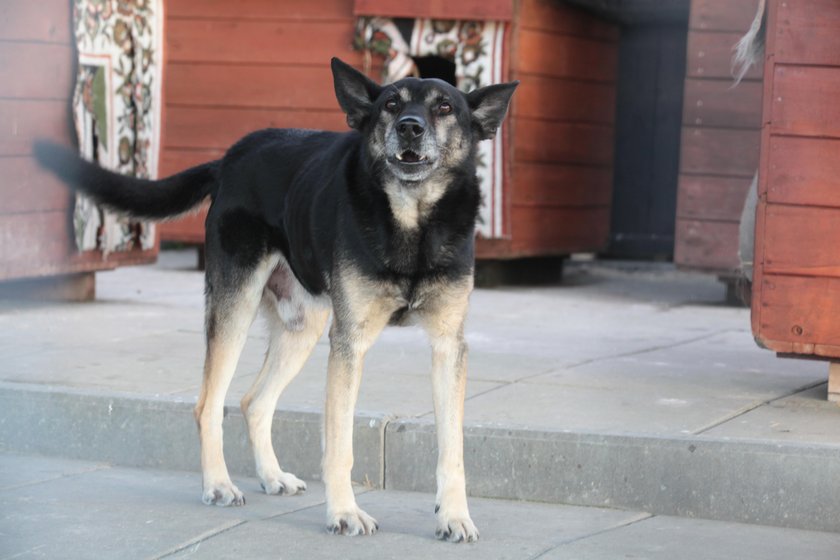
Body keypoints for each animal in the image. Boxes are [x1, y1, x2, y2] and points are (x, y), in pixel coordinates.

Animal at [37, 58, 520, 544]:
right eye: (390, 104)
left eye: (444, 107)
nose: (409, 128)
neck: (412, 218)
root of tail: (231, 157)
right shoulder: (349, 343)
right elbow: (340, 445)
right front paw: (344, 512)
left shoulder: (448, 345)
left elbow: (451, 447)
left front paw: (453, 515)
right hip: (235, 308)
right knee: (209, 404)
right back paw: (219, 484)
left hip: (301, 327)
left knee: (254, 402)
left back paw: (272, 476)